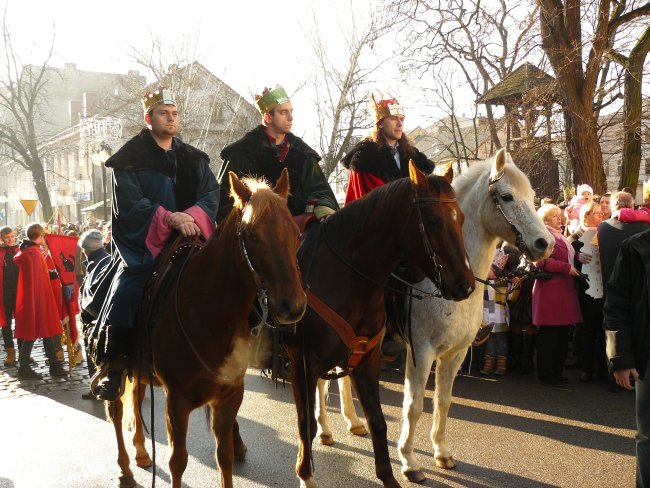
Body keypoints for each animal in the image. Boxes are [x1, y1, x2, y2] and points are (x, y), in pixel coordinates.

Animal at [107, 169, 306, 488]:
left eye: (296, 234)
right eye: (253, 235)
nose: (293, 306)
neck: (208, 313)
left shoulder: (229, 396)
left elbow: (223, 456)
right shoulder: (177, 400)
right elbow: (178, 461)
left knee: (135, 400)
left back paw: (141, 453)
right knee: (114, 410)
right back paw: (125, 469)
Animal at [280, 162, 474, 486]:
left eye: (460, 218)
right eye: (433, 220)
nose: (465, 285)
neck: (346, 277)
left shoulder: (366, 359)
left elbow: (379, 420)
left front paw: (389, 475)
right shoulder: (303, 362)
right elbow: (304, 422)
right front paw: (305, 474)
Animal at [314, 148, 552, 480]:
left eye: (531, 196)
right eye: (506, 197)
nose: (545, 244)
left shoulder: (456, 352)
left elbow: (443, 400)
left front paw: (441, 452)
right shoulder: (422, 351)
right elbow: (414, 405)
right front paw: (409, 460)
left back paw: (353, 421)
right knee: (321, 381)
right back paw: (324, 429)